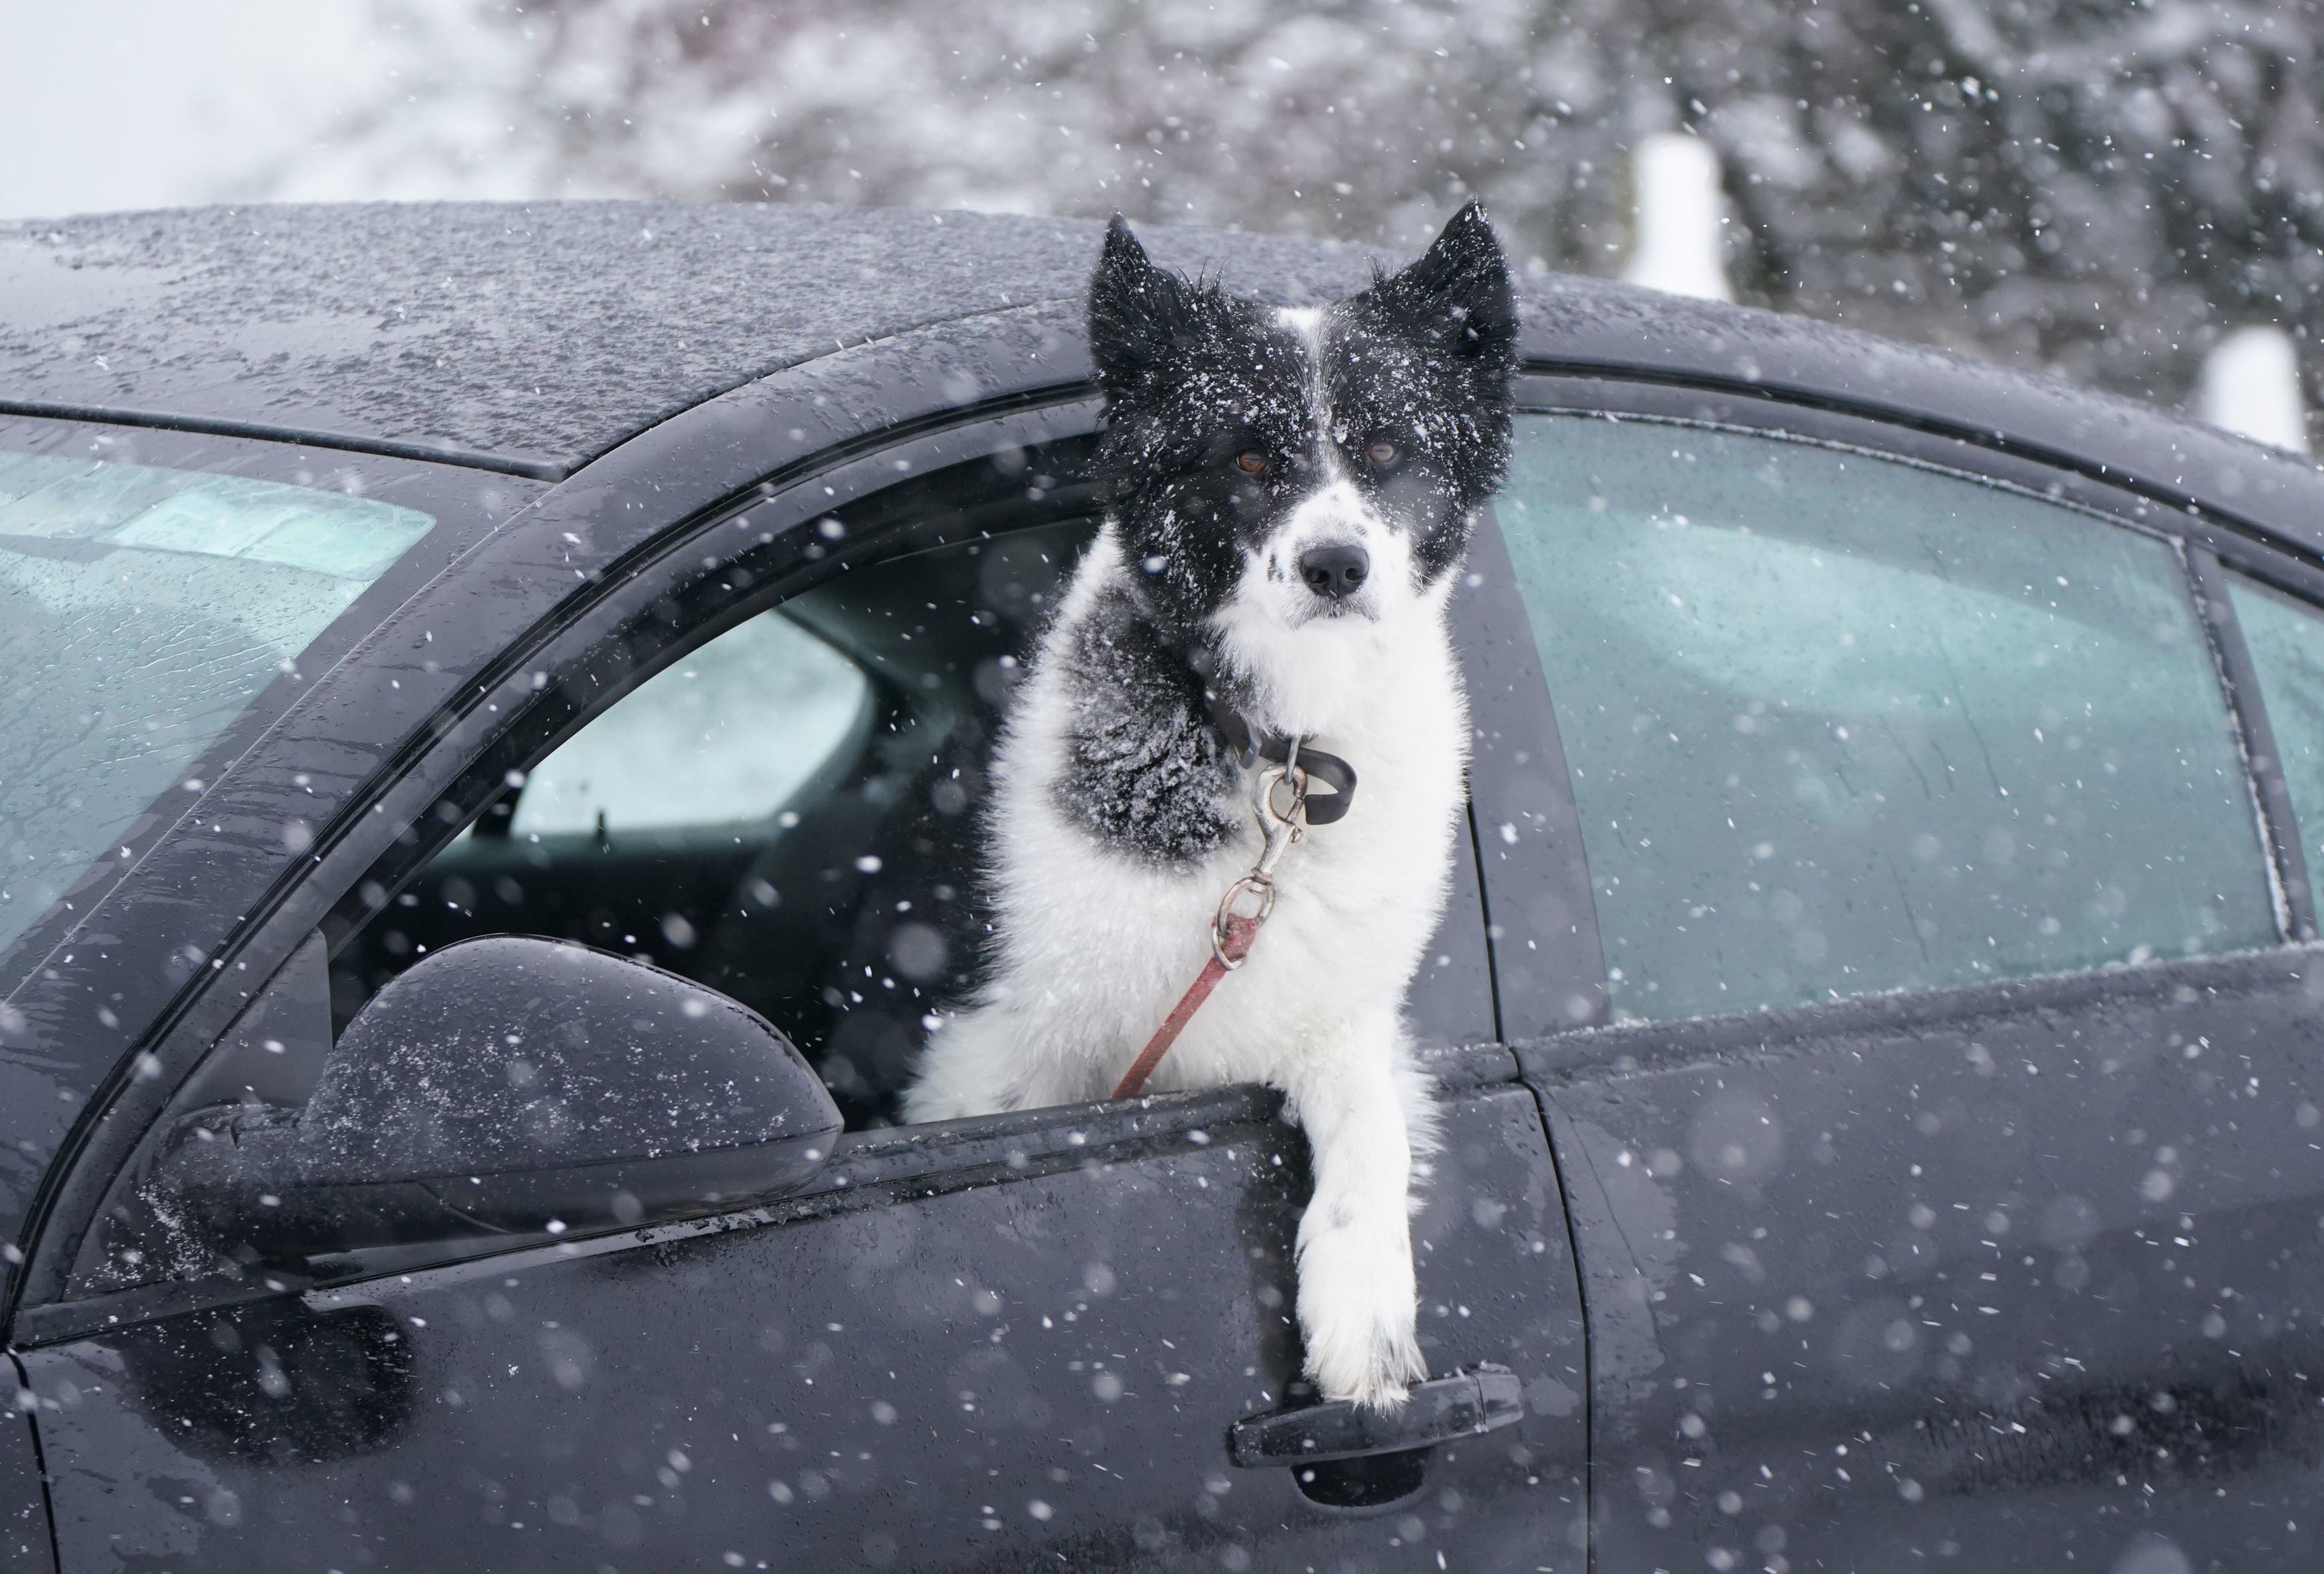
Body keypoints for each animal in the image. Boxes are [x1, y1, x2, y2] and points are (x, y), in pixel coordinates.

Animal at [906, 202, 1525, 1404]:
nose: (1335, 565)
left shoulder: (1330, 1009)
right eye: (1247, 456)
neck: (1276, 753)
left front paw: (1364, 1312)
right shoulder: (1010, 1038)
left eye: (1387, 449)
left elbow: (1372, 1119)